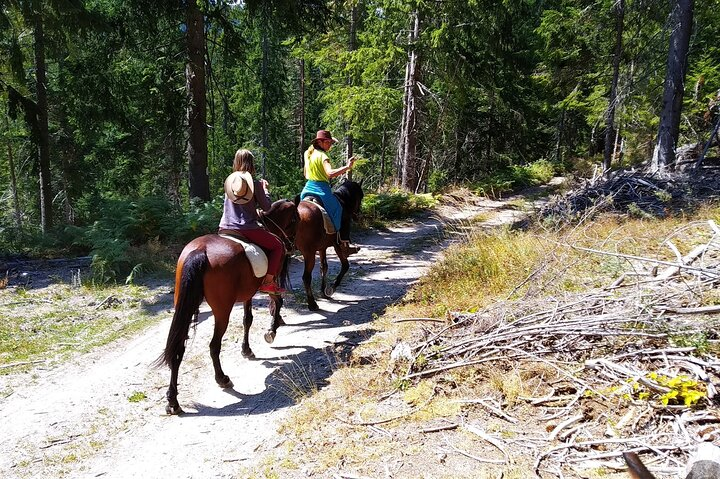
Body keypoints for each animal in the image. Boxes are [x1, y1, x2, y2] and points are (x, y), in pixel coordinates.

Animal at [160, 199, 298, 416]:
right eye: (295, 220)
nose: (291, 246)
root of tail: (200, 251)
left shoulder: (248, 293)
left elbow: (247, 320)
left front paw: (247, 350)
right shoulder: (266, 285)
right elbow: (276, 303)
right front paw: (271, 331)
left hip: (185, 306)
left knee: (179, 348)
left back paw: (173, 401)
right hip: (222, 310)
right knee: (214, 345)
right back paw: (222, 378)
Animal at [294, 180, 362, 312]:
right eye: (361, 196)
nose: (358, 215)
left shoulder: (322, 248)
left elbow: (324, 267)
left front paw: (323, 291)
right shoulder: (337, 245)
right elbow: (345, 265)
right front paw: (331, 288)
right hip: (309, 253)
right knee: (306, 277)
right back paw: (312, 304)